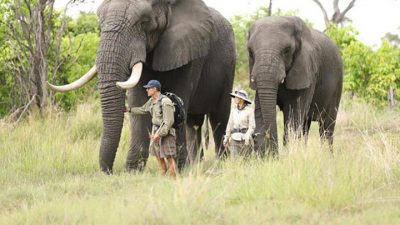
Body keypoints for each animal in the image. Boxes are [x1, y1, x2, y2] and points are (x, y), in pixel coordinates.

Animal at [47, 0, 234, 173]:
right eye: (100, 22)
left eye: (144, 22)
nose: (109, 171)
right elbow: (138, 101)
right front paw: (133, 171)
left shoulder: (190, 52)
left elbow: (176, 100)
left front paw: (179, 169)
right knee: (193, 123)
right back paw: (196, 165)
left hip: (228, 69)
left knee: (219, 117)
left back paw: (220, 163)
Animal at [247, 16, 344, 156]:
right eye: (250, 52)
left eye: (286, 50)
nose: (275, 155)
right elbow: (260, 112)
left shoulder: (307, 69)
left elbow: (293, 115)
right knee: (305, 126)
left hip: (337, 82)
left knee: (326, 127)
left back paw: (327, 156)